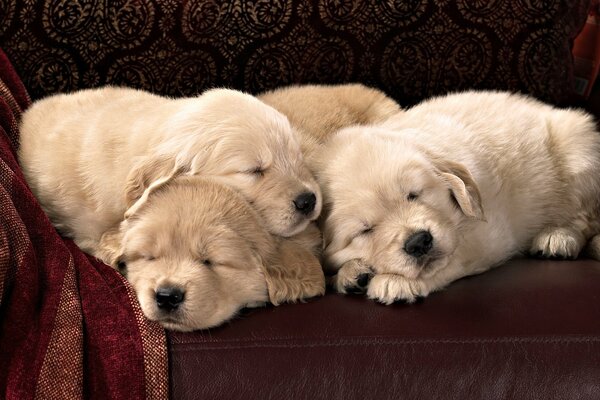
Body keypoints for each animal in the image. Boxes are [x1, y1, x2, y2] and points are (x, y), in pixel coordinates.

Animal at [314, 90, 600, 304]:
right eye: (366, 230)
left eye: (414, 195)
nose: (418, 242)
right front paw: (351, 273)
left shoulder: (489, 237)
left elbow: (449, 259)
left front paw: (396, 281)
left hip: (579, 154)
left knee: (585, 219)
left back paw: (558, 237)